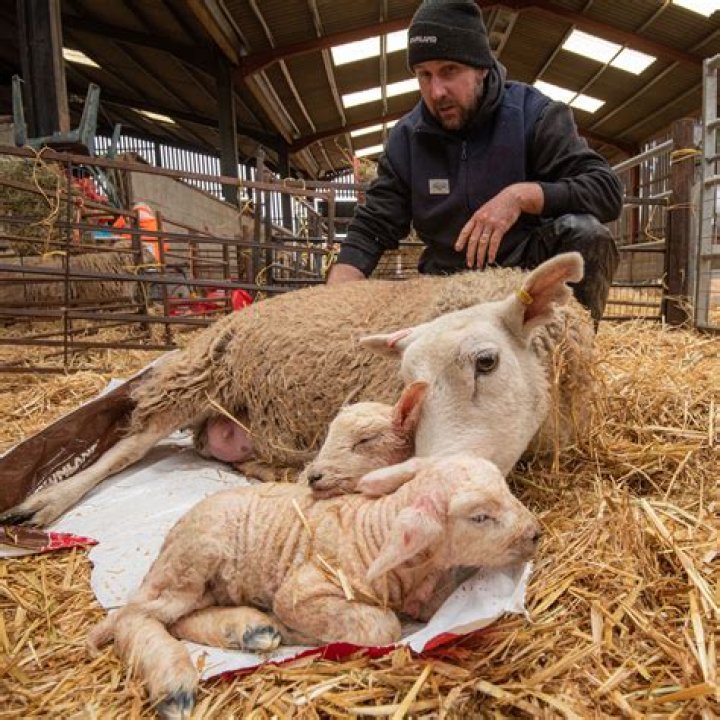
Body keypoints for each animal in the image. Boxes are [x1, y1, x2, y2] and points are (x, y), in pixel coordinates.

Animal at [86, 454, 540, 719]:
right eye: (479, 517)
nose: (536, 532)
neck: (375, 531)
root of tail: (171, 537)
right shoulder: (303, 589)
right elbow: (380, 626)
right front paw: (298, 632)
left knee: (180, 617)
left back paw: (250, 629)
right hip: (194, 557)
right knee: (134, 617)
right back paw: (173, 683)